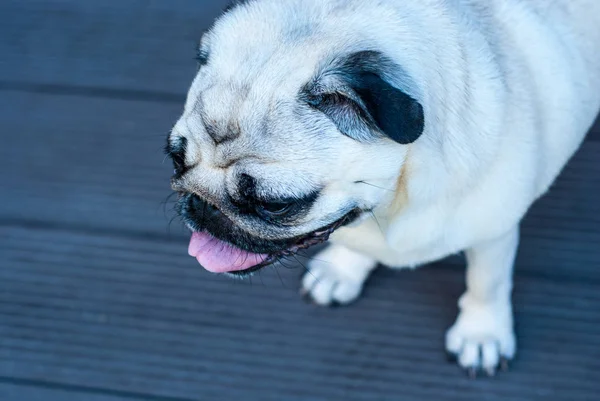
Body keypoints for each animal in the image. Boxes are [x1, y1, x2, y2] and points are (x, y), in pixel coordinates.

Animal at [166, 0, 600, 376]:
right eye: (175, 158)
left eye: (274, 205)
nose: (202, 205)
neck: (397, 196)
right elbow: (357, 243)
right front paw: (342, 270)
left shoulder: (493, 232)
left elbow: (486, 283)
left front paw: (482, 333)